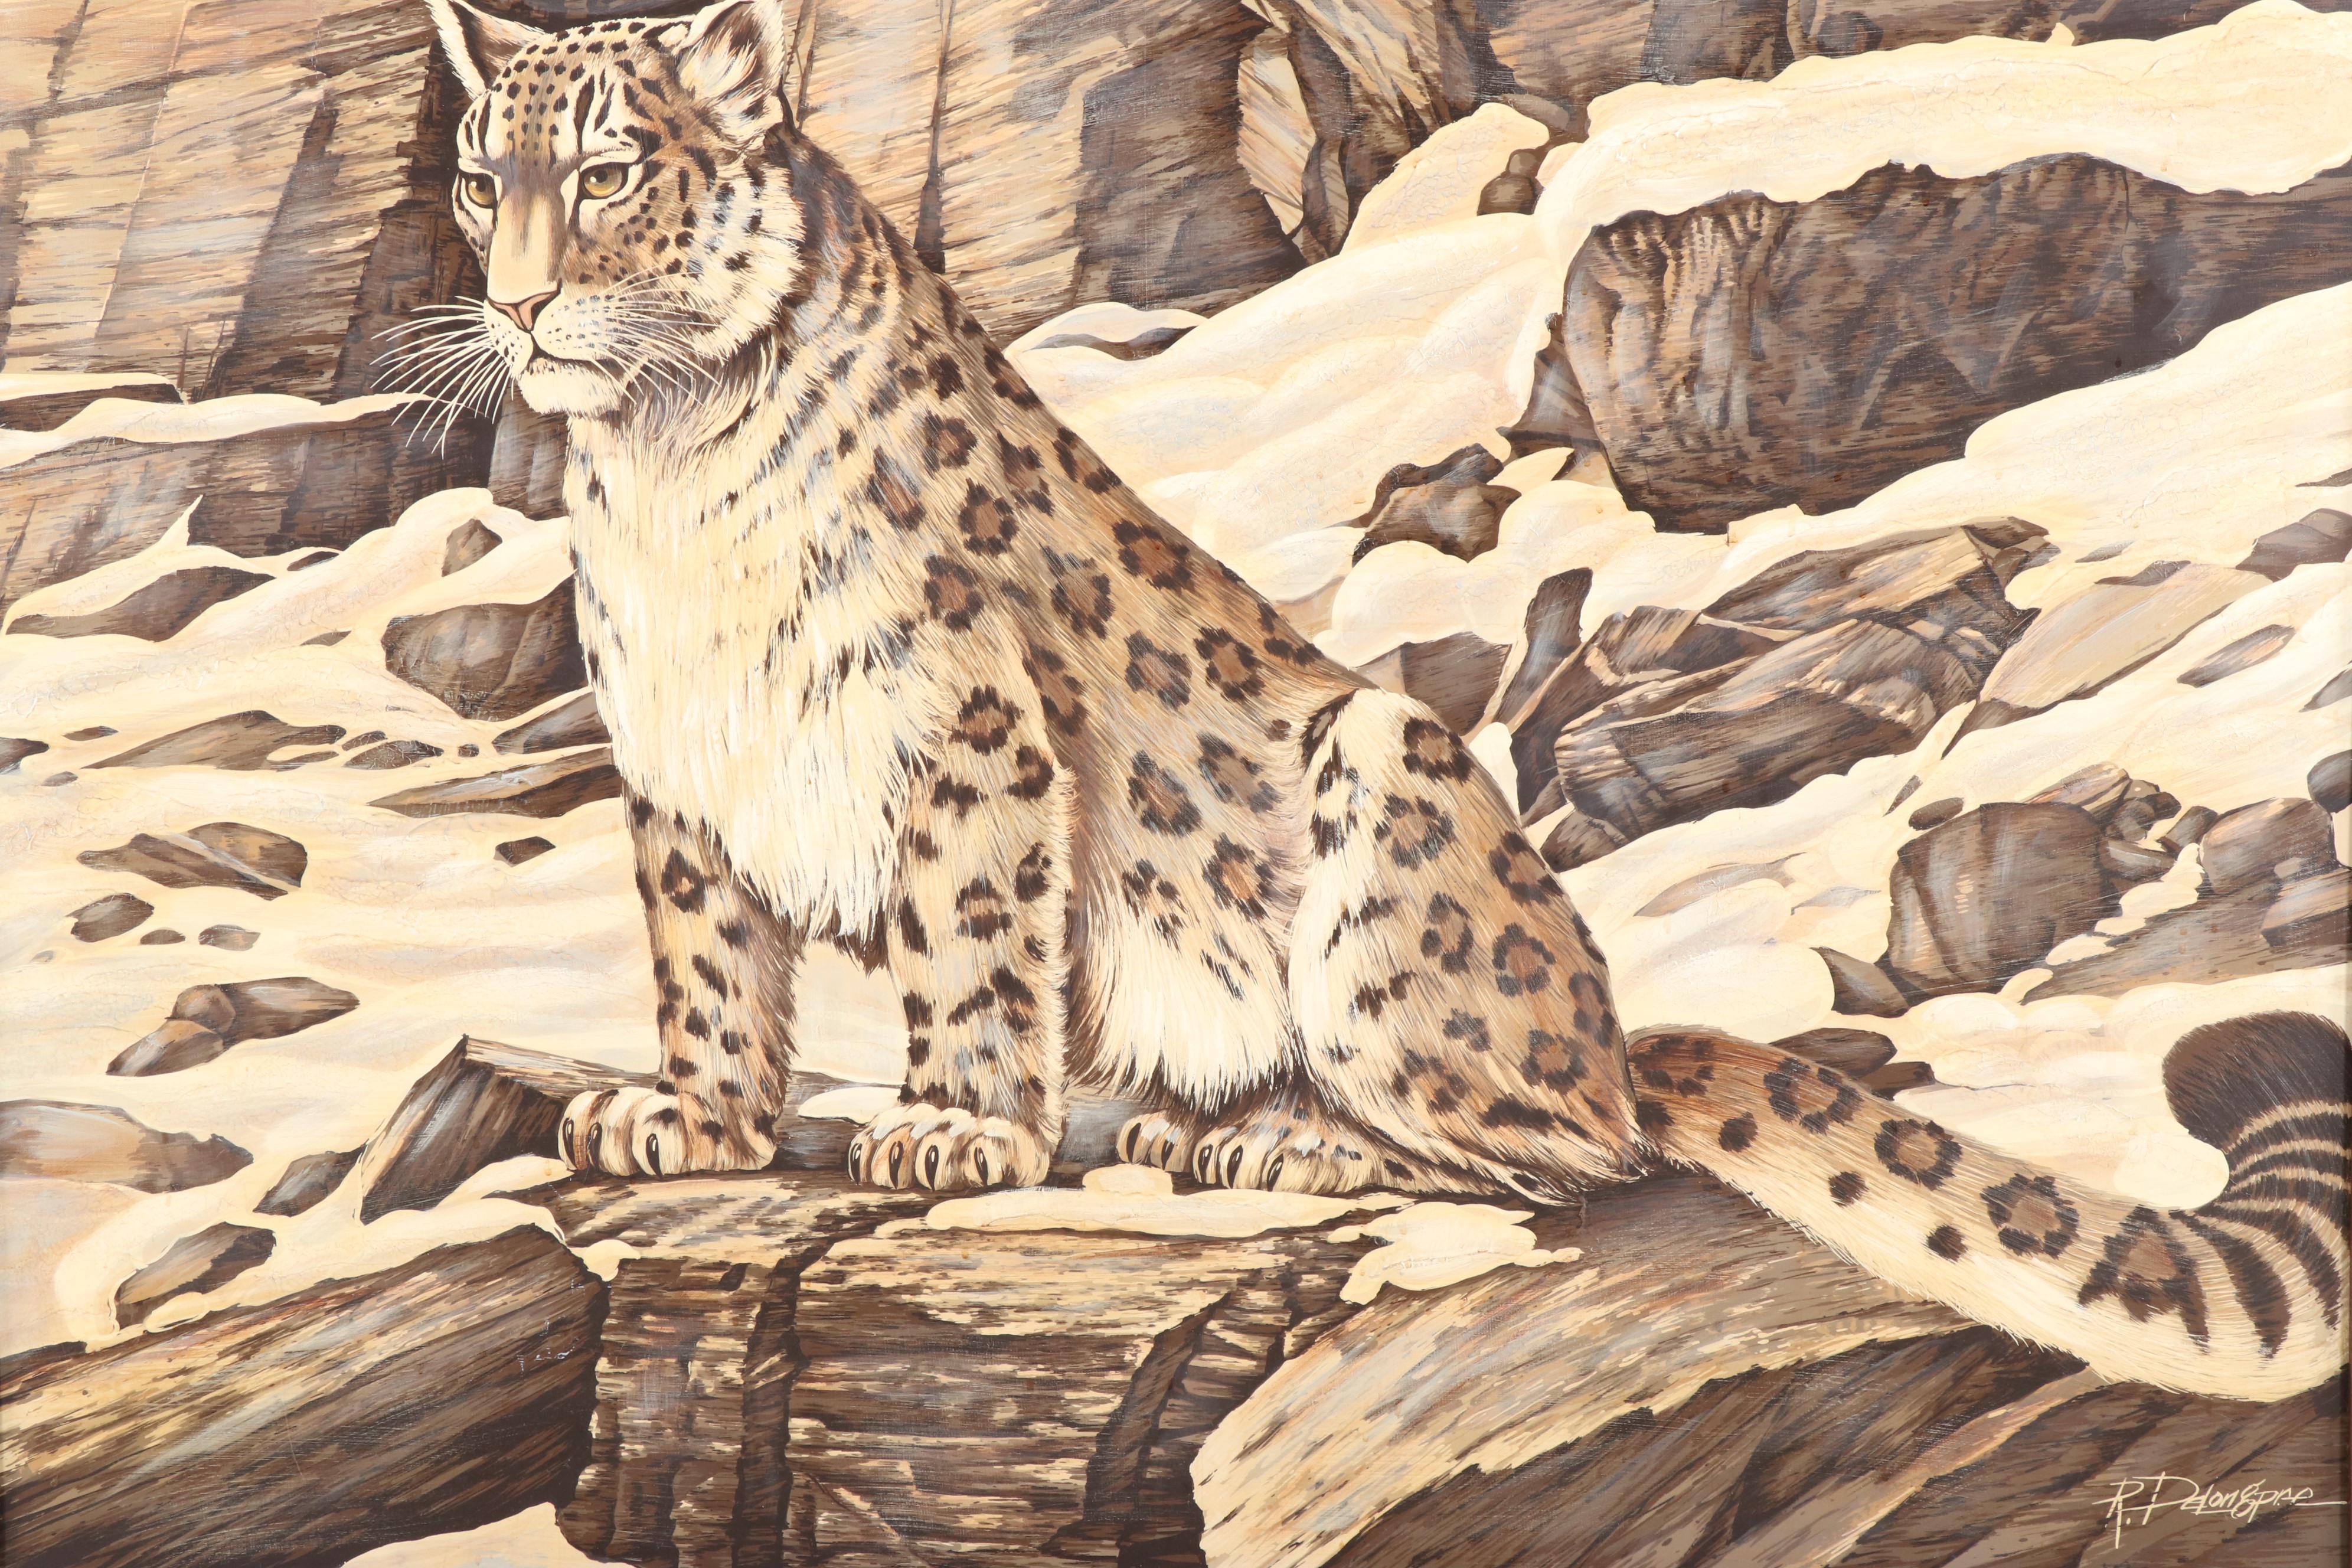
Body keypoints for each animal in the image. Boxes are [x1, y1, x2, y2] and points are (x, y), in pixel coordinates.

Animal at [423, 0, 2347, 1402]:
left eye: (607, 174)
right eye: (473, 180)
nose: (514, 304)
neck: (665, 465)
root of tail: (1601, 1028)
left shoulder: (965, 721)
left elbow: (970, 934)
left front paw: (956, 1124)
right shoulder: (680, 757)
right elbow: (705, 957)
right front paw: (691, 1120)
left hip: (1384, 802)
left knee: (1551, 1155)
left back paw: (1280, 1141)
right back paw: (1182, 1118)